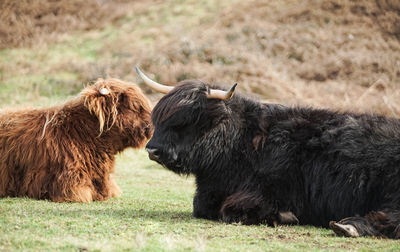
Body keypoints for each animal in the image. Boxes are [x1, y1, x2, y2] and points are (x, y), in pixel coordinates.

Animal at [137, 66, 400, 238]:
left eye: (190, 119)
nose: (153, 149)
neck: (242, 143)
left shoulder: (273, 190)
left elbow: (230, 209)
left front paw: (285, 216)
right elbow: (200, 207)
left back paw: (349, 226)